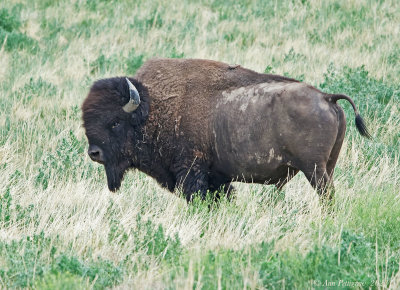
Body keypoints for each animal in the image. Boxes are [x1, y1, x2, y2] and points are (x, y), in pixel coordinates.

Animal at [82, 59, 372, 202]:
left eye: (115, 122)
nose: (94, 153)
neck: (153, 108)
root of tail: (326, 97)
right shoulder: (217, 178)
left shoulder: (192, 173)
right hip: (327, 166)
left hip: (314, 170)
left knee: (327, 196)